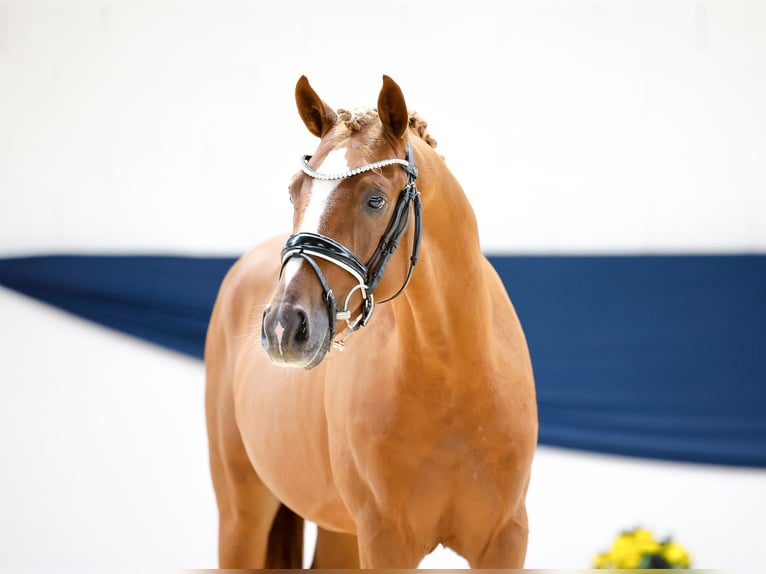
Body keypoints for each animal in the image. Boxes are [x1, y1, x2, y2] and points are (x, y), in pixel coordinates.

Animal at [206, 76, 540, 572]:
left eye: (375, 199)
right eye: (293, 191)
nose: (284, 327)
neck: (453, 373)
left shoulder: (505, 541)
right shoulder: (385, 542)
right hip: (240, 515)